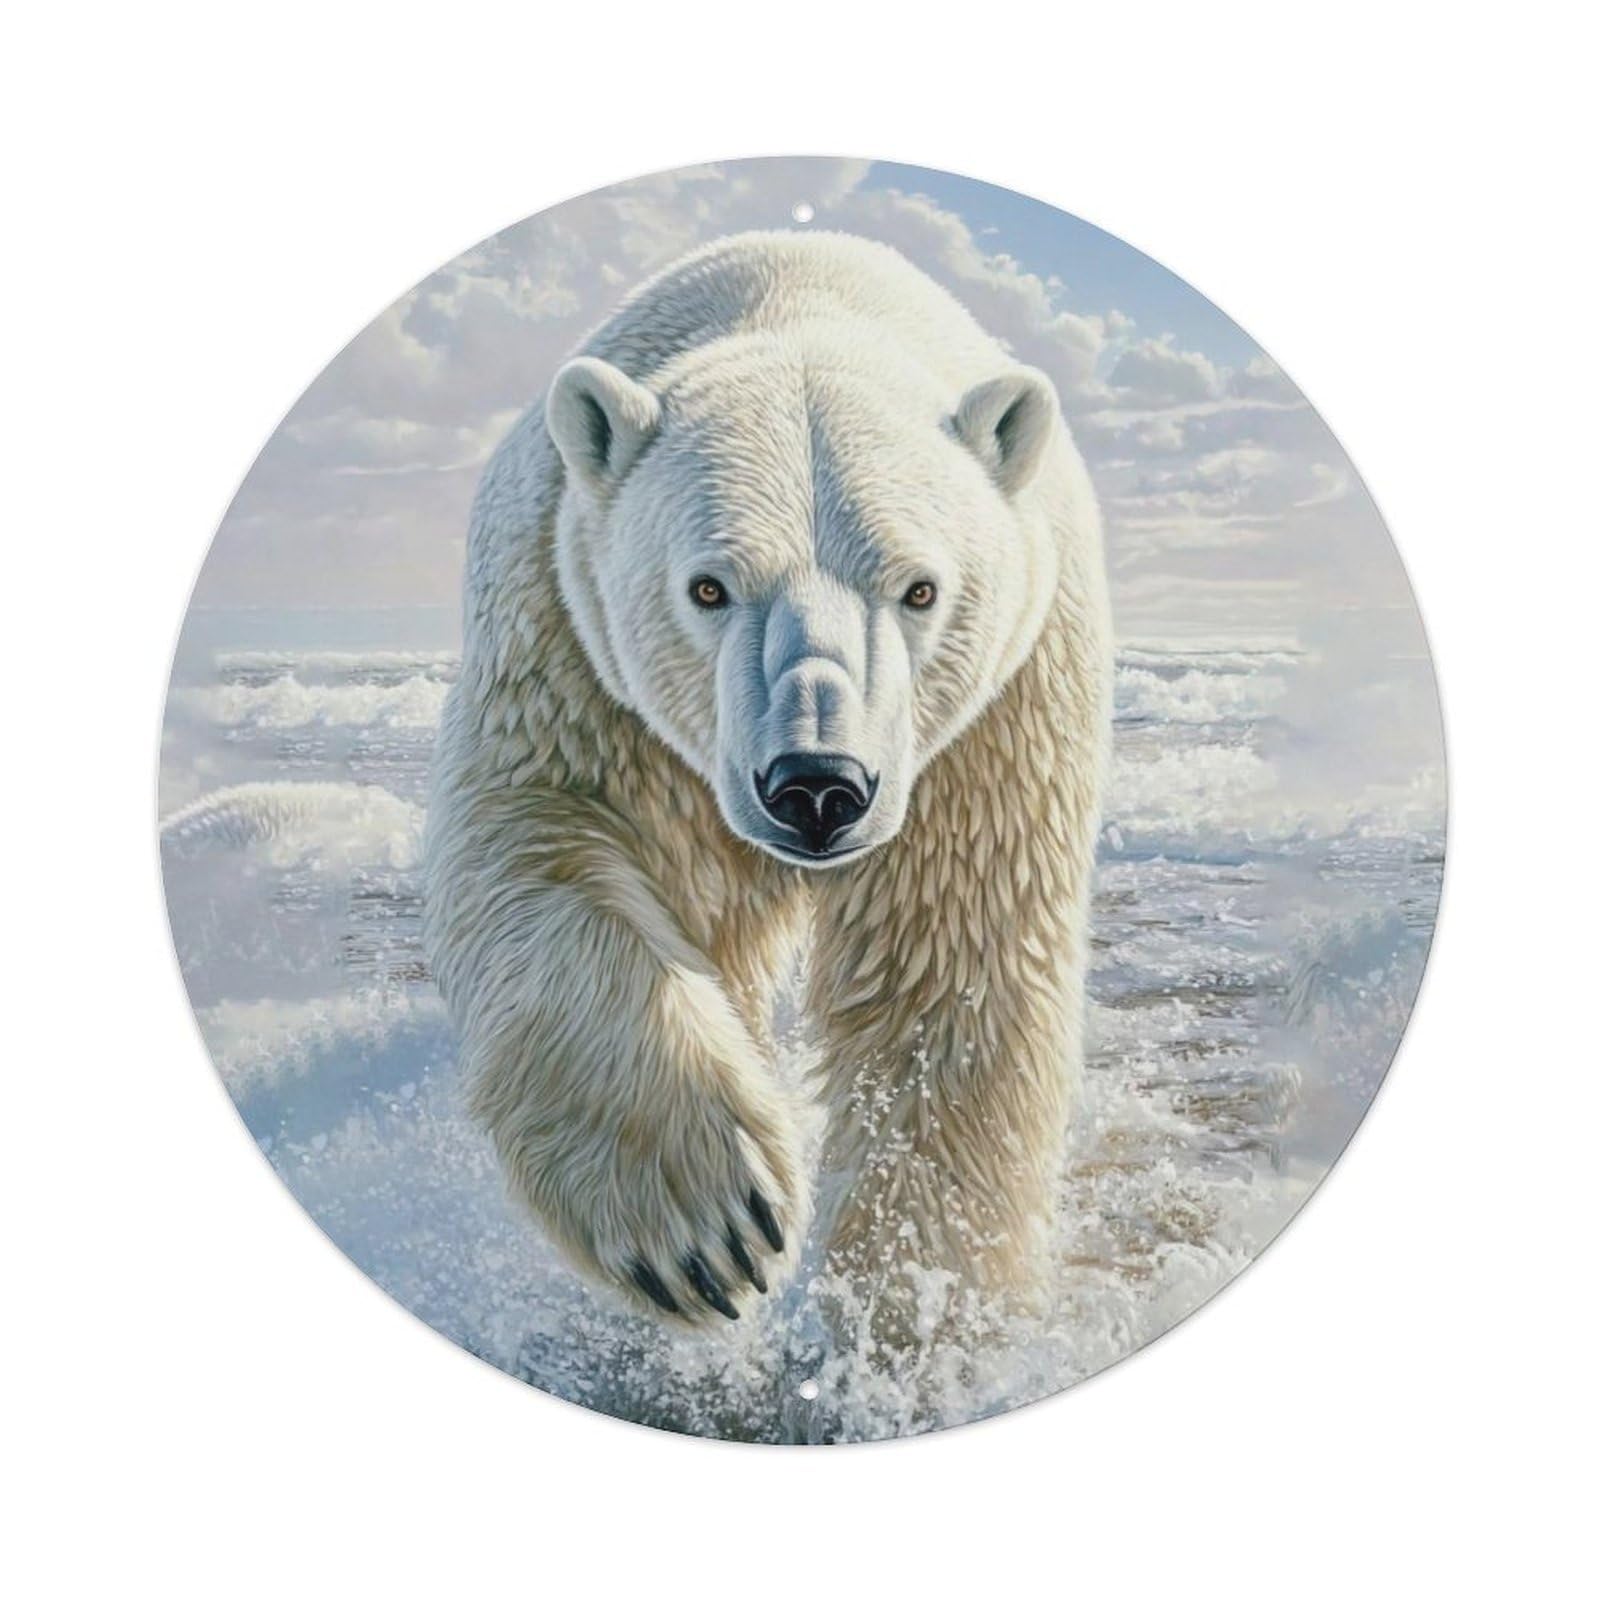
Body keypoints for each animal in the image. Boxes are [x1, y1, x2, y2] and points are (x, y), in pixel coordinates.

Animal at [423, 230, 1111, 1346]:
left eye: (920, 588)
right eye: (708, 587)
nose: (817, 786)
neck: (801, 299)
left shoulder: (990, 725)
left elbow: (948, 976)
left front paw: (917, 1311)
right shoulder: (571, 656)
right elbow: (534, 849)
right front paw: (711, 1227)